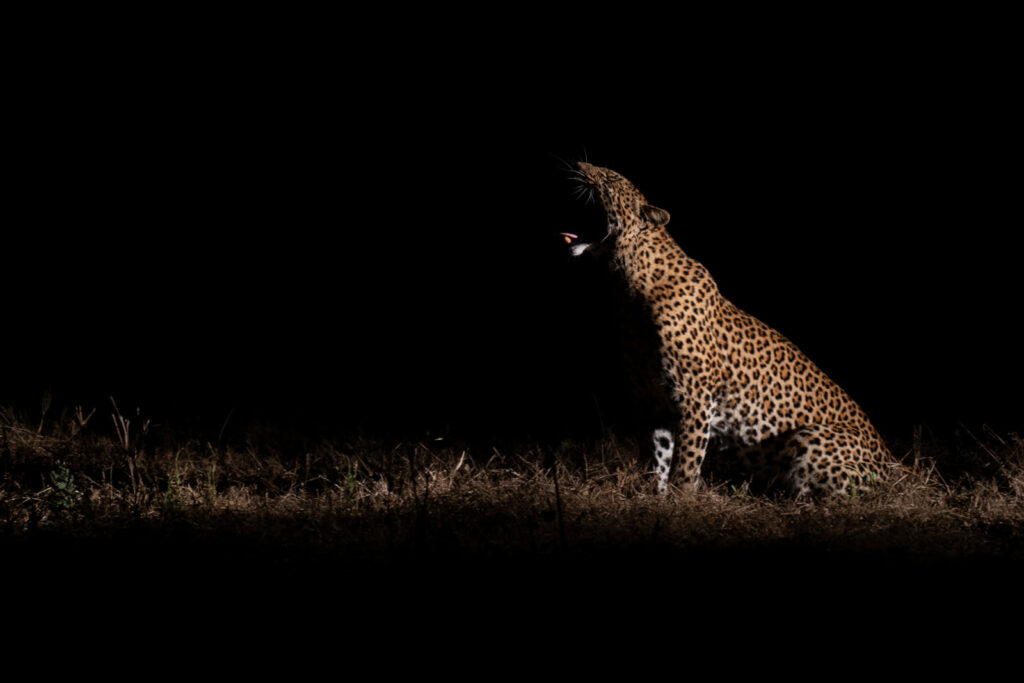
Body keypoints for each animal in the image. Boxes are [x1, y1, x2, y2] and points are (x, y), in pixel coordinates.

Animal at [565, 160, 901, 497]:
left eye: (610, 178)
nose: (580, 165)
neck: (626, 285)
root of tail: (894, 462)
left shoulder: (695, 395)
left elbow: (687, 459)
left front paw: (682, 498)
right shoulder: (650, 398)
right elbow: (657, 456)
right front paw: (654, 494)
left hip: (808, 438)